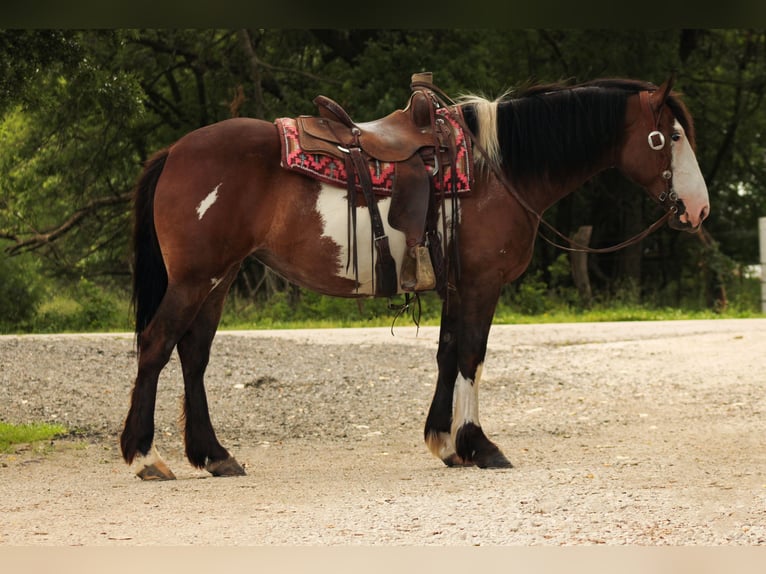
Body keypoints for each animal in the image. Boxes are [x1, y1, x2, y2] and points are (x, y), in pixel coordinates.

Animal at [120, 76, 709, 479]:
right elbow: (472, 356)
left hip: (218, 278)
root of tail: (175, 150)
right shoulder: (482, 284)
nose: (697, 208)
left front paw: (446, 445)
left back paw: (213, 456)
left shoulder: (456, 287)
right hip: (196, 277)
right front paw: (480, 446)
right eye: (669, 138)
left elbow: (448, 355)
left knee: (193, 355)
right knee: (156, 344)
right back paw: (145, 456)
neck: (499, 170)